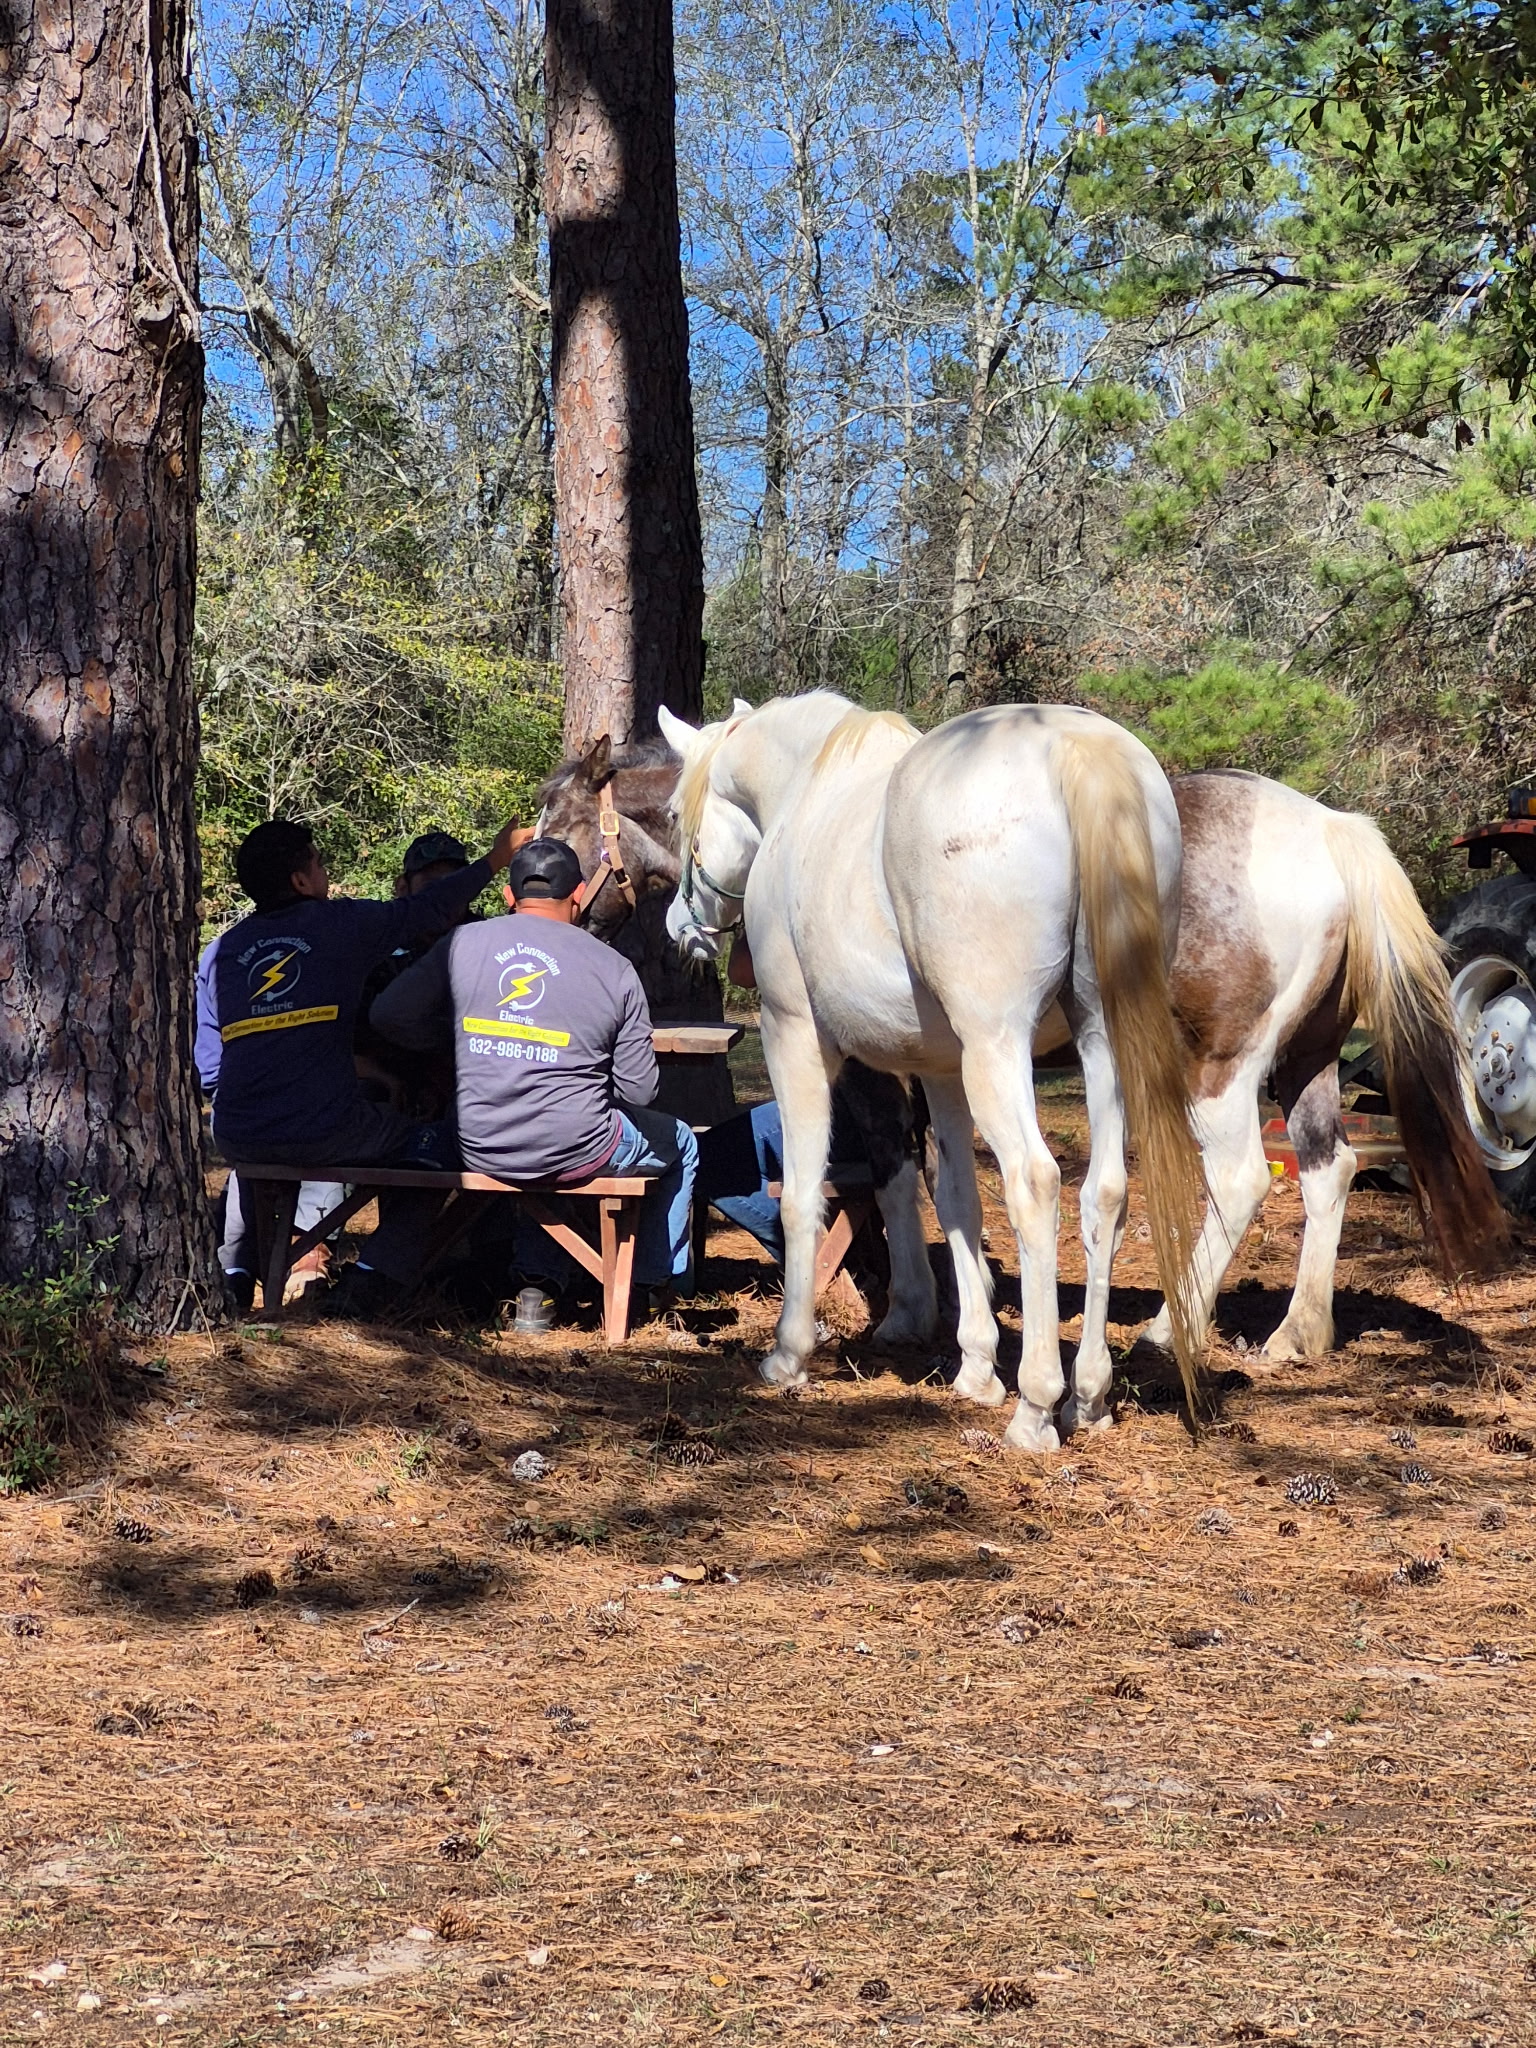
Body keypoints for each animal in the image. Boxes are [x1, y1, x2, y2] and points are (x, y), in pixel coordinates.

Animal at [658, 690, 1205, 1452]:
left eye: (678, 818)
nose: (682, 930)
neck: (805, 790)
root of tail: (1077, 749)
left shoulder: (795, 1037)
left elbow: (802, 1197)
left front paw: (789, 1353)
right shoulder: (944, 1073)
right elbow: (956, 1203)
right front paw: (975, 1366)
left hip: (999, 1049)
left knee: (1036, 1182)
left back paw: (1038, 1405)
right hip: (1100, 1039)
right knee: (1105, 1193)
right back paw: (1089, 1396)